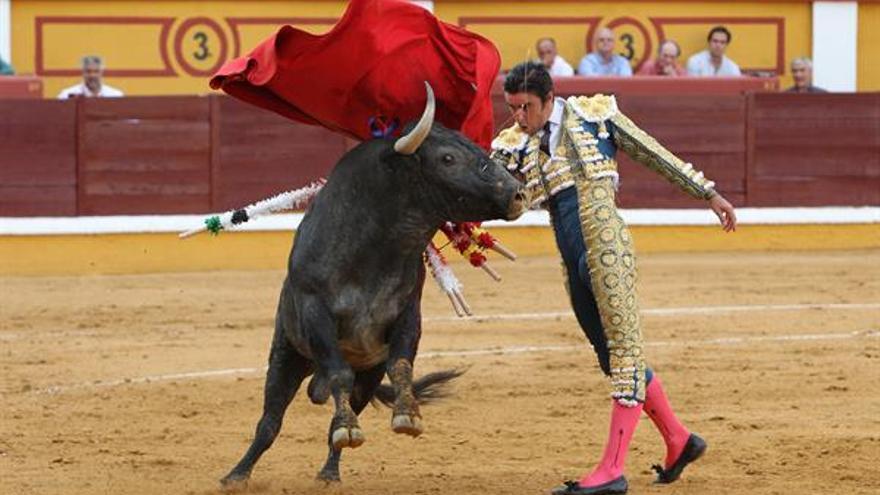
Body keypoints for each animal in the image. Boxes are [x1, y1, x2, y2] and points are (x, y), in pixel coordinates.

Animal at [219, 84, 524, 484]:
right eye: (447, 158)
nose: (516, 192)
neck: (378, 247)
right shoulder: (315, 311)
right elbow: (339, 371)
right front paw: (350, 426)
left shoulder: (408, 314)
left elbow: (401, 365)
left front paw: (407, 416)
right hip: (286, 354)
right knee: (271, 420)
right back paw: (236, 475)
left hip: (367, 373)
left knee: (344, 410)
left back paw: (330, 472)